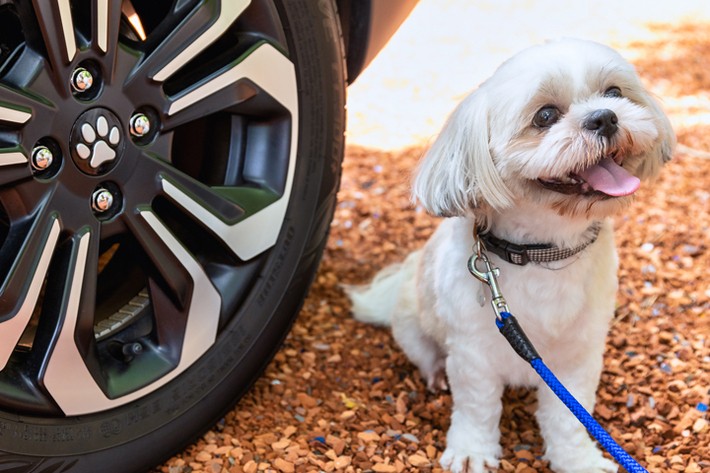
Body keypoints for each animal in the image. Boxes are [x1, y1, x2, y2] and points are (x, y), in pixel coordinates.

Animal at [348, 39, 676, 472]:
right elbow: (476, 407)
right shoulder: (472, 354)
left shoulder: (578, 357)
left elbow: (569, 417)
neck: (543, 253)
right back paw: (434, 375)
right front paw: (471, 451)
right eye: (545, 115)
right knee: (426, 354)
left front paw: (578, 459)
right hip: (412, 326)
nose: (604, 117)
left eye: (614, 93)